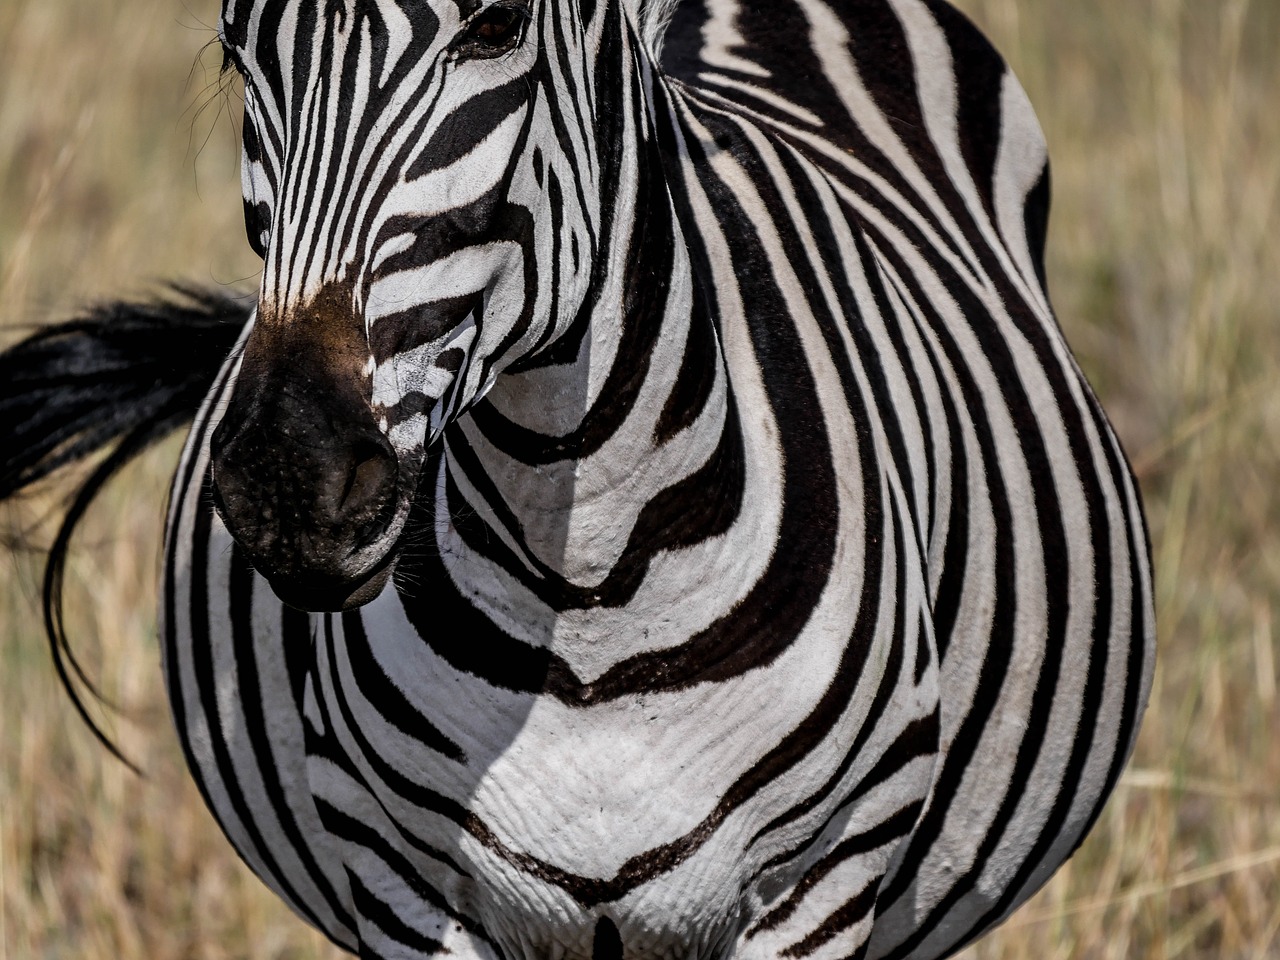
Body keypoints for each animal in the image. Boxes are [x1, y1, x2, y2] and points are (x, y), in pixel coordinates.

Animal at [0, 0, 1157, 957]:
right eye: (239, 48)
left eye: (496, 25)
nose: (291, 482)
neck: (594, 585)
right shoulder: (401, 882)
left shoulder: (822, 879)